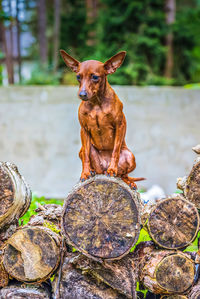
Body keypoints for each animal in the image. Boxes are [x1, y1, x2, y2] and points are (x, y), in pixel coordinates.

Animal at [59, 49, 144, 190]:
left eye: (95, 77)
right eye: (78, 77)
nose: (82, 94)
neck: (96, 103)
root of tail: (103, 169)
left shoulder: (120, 125)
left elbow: (115, 150)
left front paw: (112, 168)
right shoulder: (84, 130)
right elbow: (86, 155)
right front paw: (85, 173)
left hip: (130, 156)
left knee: (123, 175)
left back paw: (127, 180)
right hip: (83, 150)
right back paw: (92, 171)